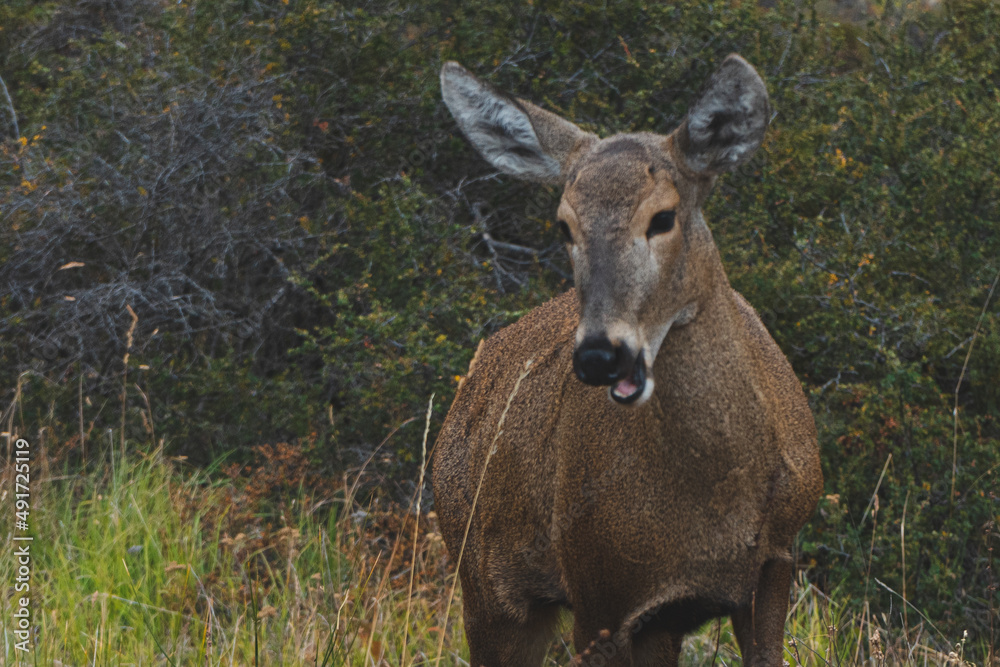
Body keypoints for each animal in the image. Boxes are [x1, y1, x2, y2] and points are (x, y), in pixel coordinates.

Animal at [434, 54, 824, 664]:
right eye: (564, 225)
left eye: (662, 217)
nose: (599, 355)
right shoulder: (600, 597)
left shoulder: (773, 565)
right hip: (484, 586)